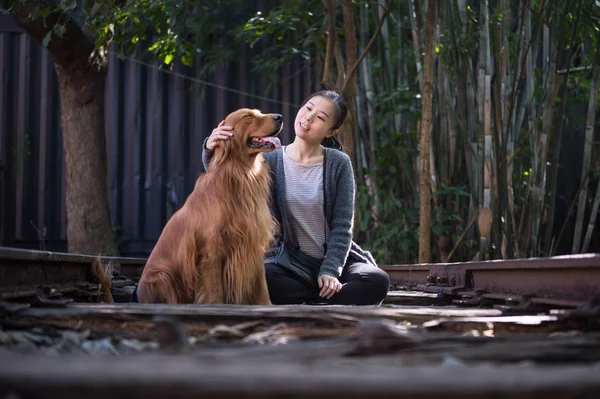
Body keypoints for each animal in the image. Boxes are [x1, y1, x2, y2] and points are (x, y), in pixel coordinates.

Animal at [137, 108, 282, 304]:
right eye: (247, 116)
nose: (279, 117)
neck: (241, 173)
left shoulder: (252, 241)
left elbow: (261, 286)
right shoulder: (211, 250)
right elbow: (214, 291)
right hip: (162, 276)